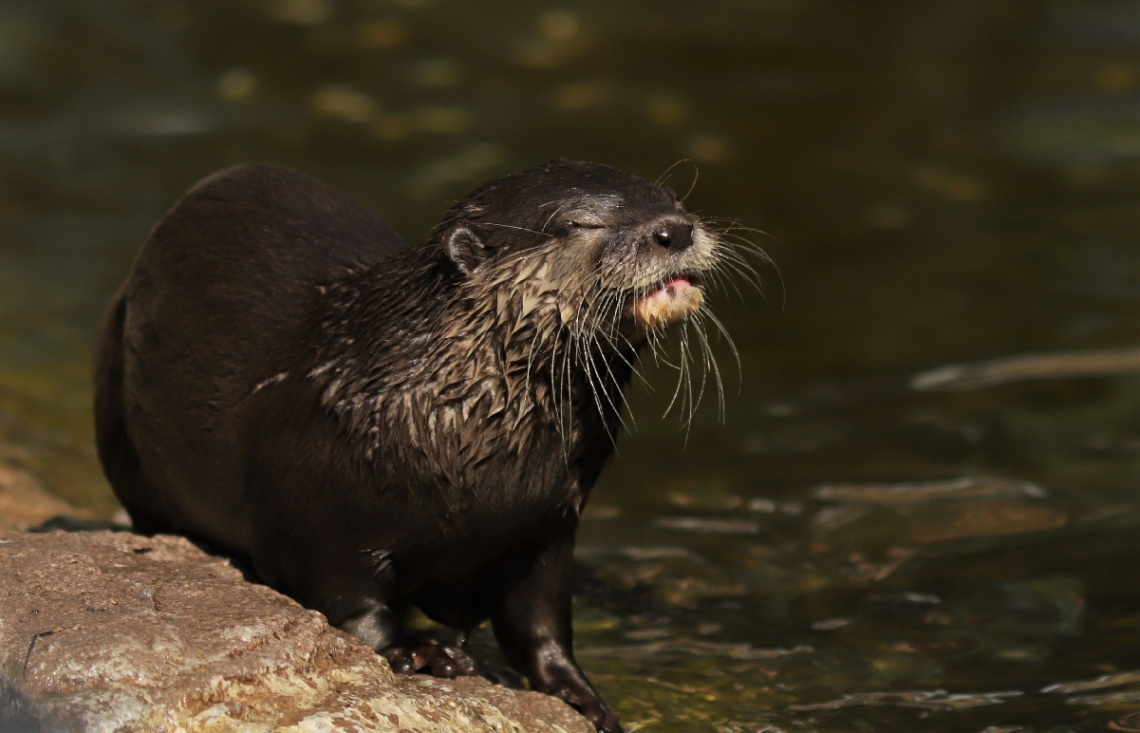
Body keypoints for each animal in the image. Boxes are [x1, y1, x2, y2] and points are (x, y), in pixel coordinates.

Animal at [91, 161, 729, 733]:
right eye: (576, 224)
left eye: (672, 198)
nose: (674, 230)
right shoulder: (318, 512)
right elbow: (344, 597)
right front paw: (423, 653)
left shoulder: (547, 528)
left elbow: (541, 624)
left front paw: (581, 697)